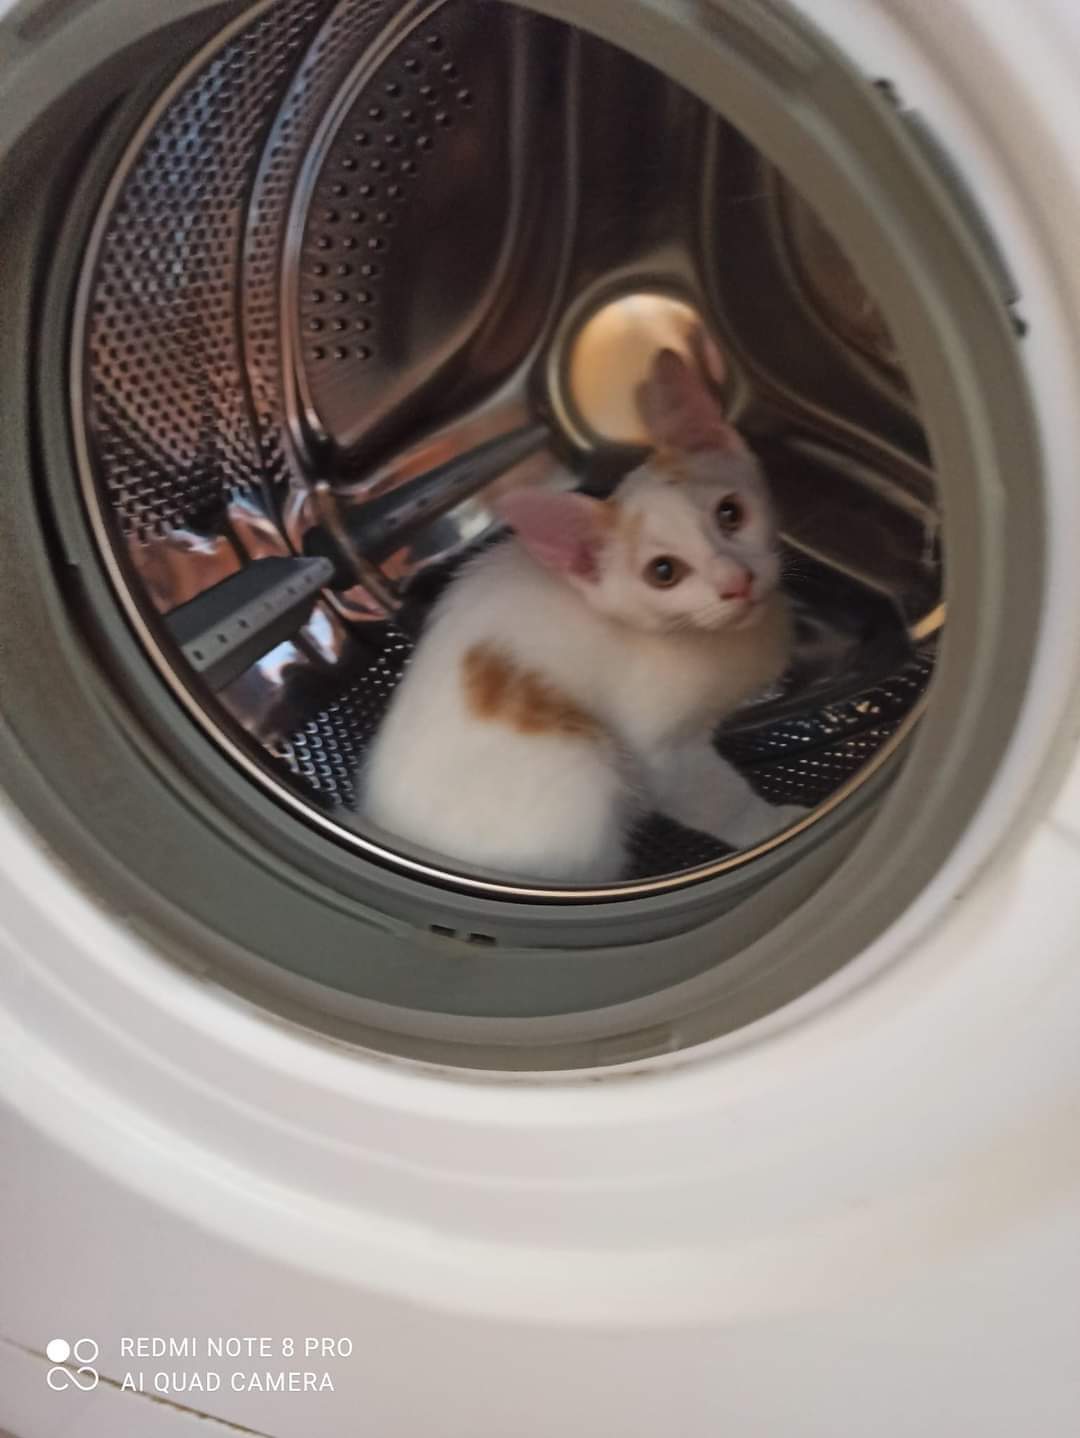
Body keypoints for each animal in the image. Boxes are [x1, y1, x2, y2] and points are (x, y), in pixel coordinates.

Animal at [360, 348, 804, 883]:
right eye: (663, 572)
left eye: (731, 514)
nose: (736, 581)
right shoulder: (663, 754)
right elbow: (714, 797)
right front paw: (773, 826)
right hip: (587, 776)